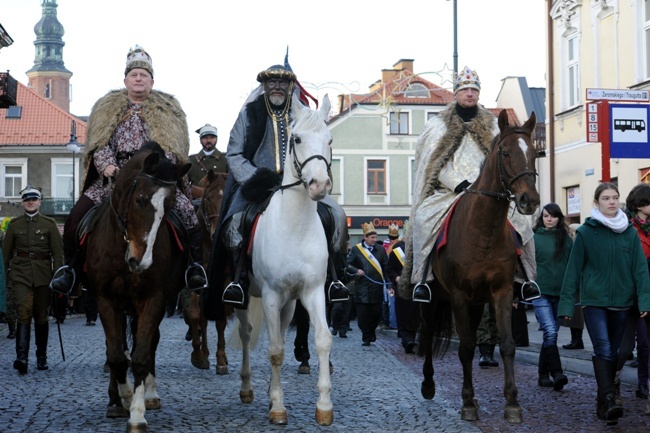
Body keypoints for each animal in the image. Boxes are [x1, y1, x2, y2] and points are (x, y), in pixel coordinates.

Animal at [83, 143, 190, 432]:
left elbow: (141, 355)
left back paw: (149, 395)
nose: (141, 261)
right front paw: (124, 397)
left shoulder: (153, 299)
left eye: (170, 206)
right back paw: (115, 400)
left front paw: (137, 413)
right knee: (116, 348)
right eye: (140, 200)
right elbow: (116, 355)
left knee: (150, 343)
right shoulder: (105, 300)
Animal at [234, 92, 334, 426]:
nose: (319, 185)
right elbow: (276, 349)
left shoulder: (312, 292)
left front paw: (324, 406)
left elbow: (323, 340)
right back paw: (248, 388)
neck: (296, 225)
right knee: (247, 334)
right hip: (247, 298)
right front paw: (278, 407)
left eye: (329, 139)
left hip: (289, 304)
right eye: (298, 139)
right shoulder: (271, 294)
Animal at [418, 109, 540, 424]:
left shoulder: (501, 291)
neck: (483, 231)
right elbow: (465, 347)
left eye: (534, 153)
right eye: (506, 152)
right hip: (434, 299)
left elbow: (507, 344)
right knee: (427, 335)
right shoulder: (458, 295)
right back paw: (428, 384)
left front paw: (512, 403)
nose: (530, 200)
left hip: (475, 303)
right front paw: (468, 404)